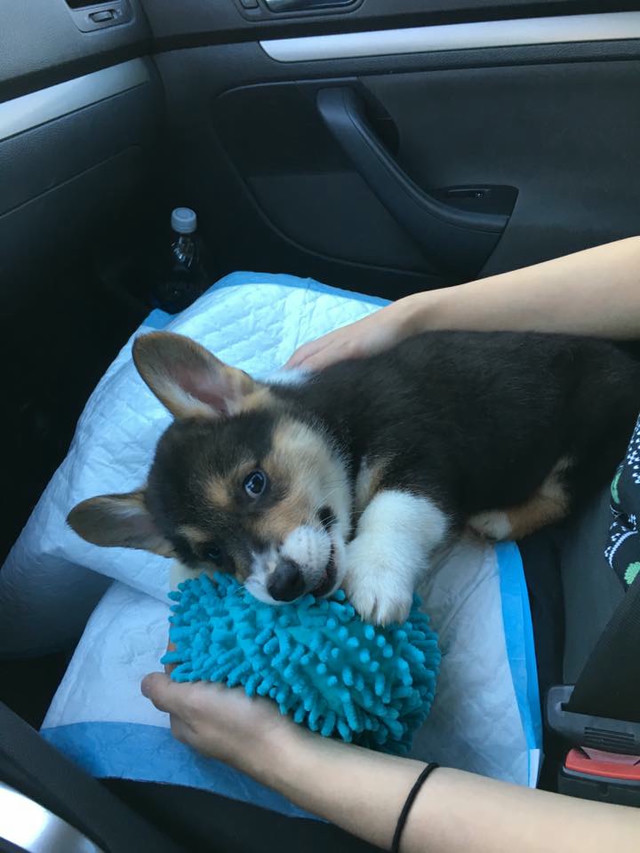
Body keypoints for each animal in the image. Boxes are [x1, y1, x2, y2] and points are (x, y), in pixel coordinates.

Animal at [67, 330, 636, 624]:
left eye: (255, 483)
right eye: (211, 553)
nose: (285, 586)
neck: (335, 419)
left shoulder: (418, 462)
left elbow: (393, 511)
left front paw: (376, 578)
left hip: (592, 422)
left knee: (562, 494)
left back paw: (496, 519)